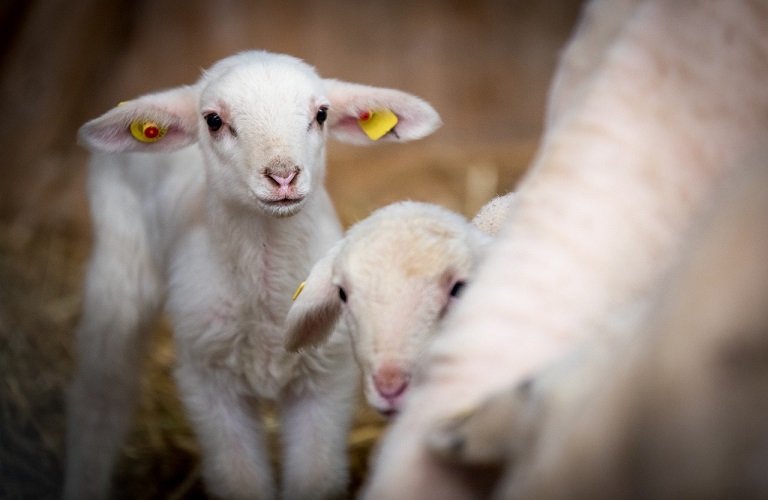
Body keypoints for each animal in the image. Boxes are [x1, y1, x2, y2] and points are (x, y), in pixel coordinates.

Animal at [63, 47, 440, 500]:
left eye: (322, 114)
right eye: (213, 120)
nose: (283, 176)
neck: (267, 294)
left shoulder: (326, 380)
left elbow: (316, 479)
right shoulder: (209, 383)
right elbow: (238, 480)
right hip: (120, 260)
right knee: (101, 395)